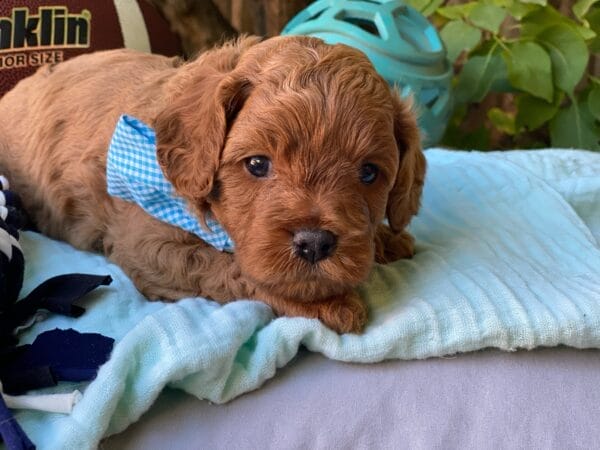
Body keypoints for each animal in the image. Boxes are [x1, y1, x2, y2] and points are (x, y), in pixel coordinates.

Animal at [0, 36, 424, 334]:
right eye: (257, 164)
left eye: (368, 173)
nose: (315, 243)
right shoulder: (147, 244)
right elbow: (228, 266)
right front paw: (324, 303)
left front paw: (386, 239)